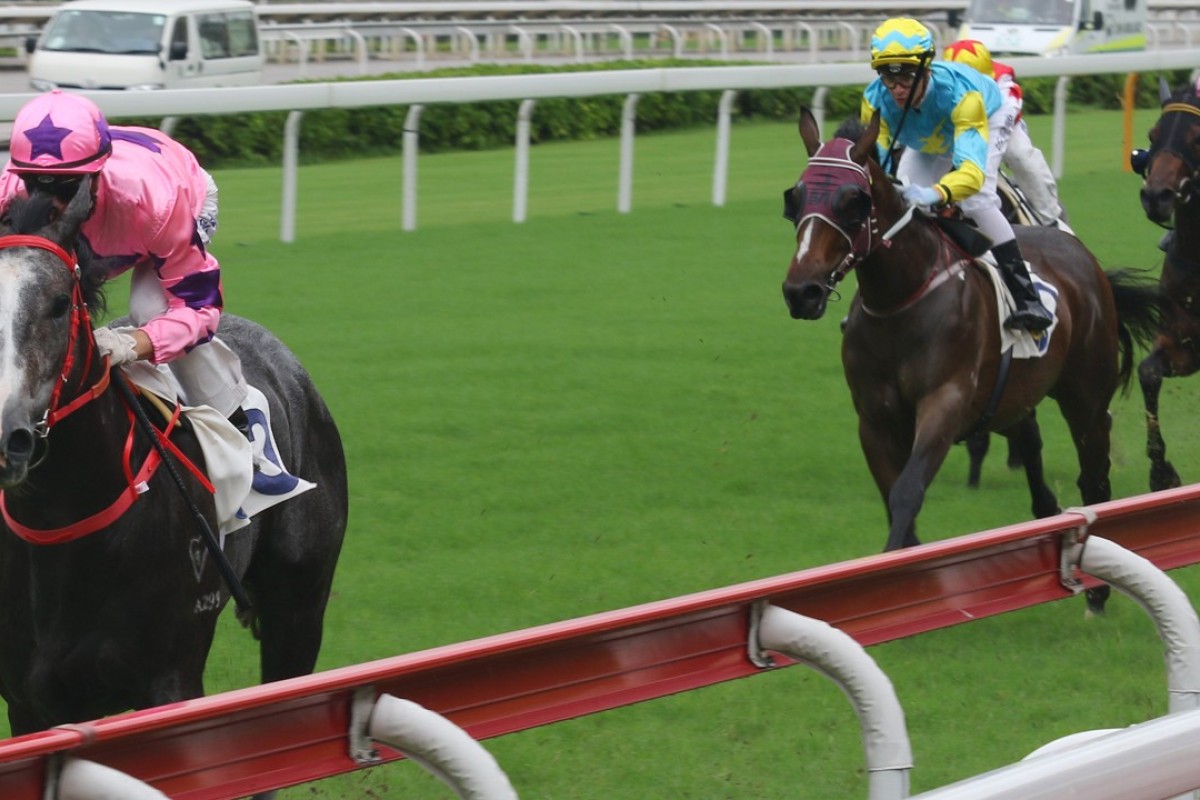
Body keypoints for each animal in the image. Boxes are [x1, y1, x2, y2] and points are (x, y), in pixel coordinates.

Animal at [0, 179, 350, 743]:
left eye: (57, 304)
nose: (7, 437)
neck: (63, 523)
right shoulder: (31, 703)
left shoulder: (169, 679)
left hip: (299, 610)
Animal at [782, 106, 1156, 606]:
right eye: (797, 197)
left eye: (852, 201)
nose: (800, 291)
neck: (900, 300)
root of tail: (1081, 254)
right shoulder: (874, 419)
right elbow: (892, 493)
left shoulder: (946, 400)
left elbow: (907, 490)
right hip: (1016, 391)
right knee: (1032, 442)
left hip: (1086, 395)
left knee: (1093, 474)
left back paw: (1097, 590)